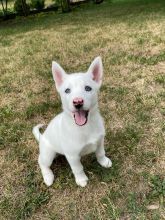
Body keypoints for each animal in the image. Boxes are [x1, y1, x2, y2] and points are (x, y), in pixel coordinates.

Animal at [32, 56, 112, 187]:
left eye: (88, 88)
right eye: (67, 90)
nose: (78, 102)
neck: (85, 127)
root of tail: (42, 137)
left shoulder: (100, 141)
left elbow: (100, 153)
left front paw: (104, 162)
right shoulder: (72, 155)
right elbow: (78, 168)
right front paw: (81, 179)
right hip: (48, 154)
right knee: (42, 162)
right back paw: (48, 177)